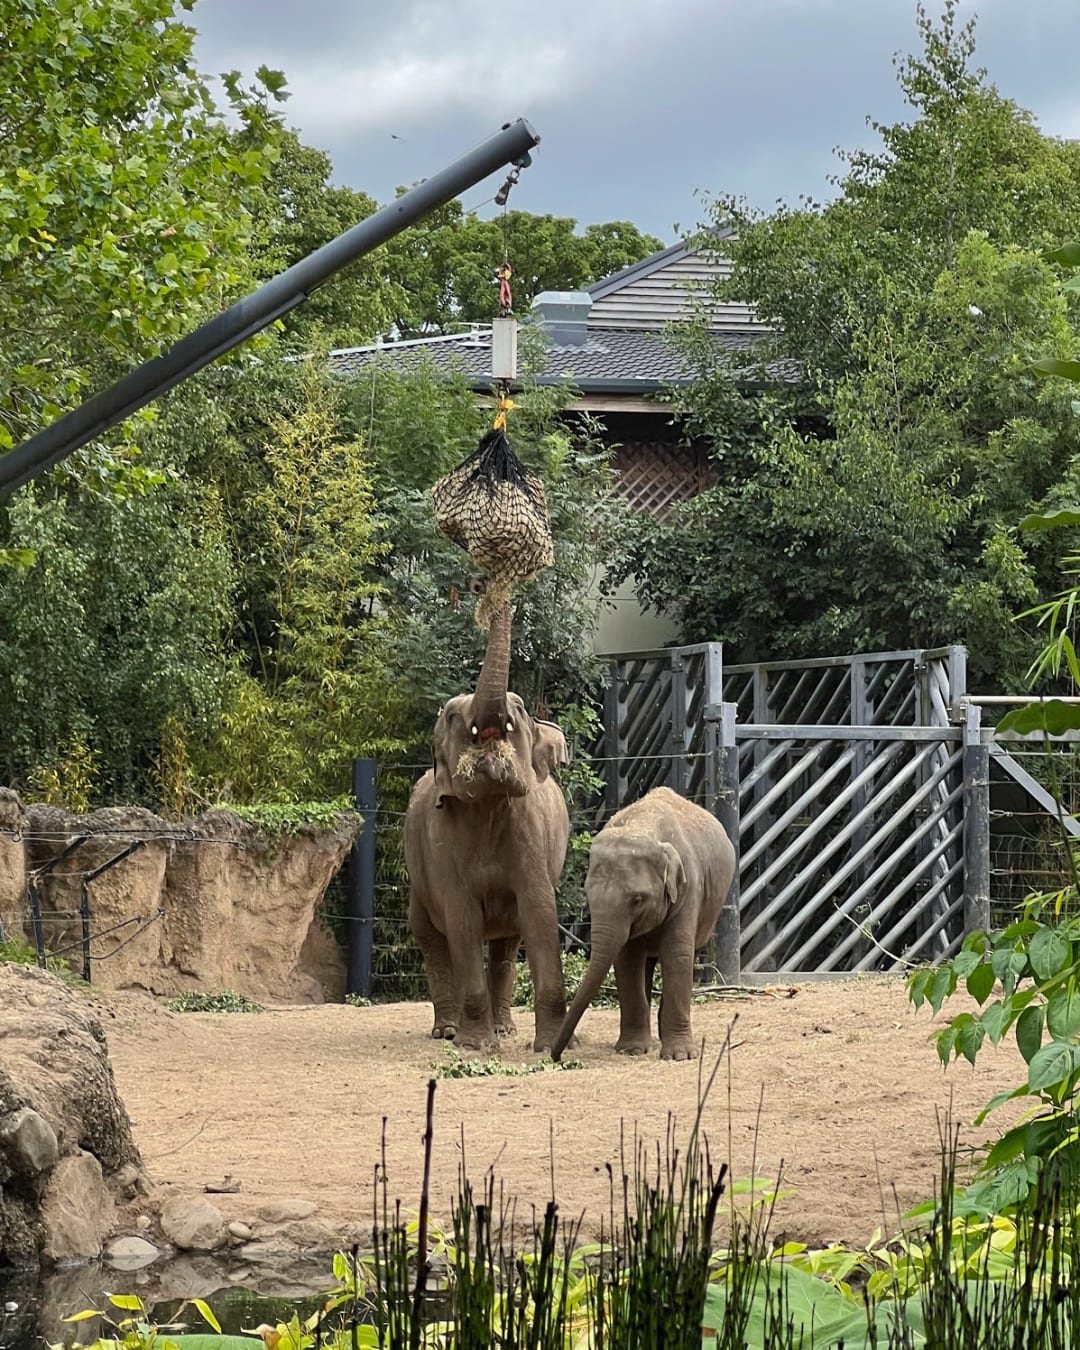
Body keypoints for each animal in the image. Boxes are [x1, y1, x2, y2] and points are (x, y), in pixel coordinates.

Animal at [402, 602, 569, 1053]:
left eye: (522, 708)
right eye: (450, 716)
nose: (489, 592)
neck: (490, 808)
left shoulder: (531, 838)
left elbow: (540, 913)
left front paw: (549, 1046)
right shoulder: (442, 844)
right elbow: (461, 919)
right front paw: (475, 1046)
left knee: (506, 946)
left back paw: (504, 1029)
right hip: (417, 884)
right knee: (435, 940)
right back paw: (449, 1031)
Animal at [553, 788, 739, 1058]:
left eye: (637, 899)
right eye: (587, 894)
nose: (555, 1056)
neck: (641, 825)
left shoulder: (689, 887)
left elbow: (677, 955)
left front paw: (679, 1056)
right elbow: (626, 961)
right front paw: (631, 1050)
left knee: (687, 954)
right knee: (645, 965)